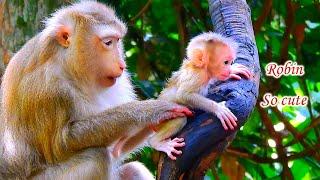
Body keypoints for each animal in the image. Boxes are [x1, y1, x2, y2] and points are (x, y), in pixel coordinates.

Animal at [0, 1, 191, 179]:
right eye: (107, 43)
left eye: (117, 41)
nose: (122, 64)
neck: (68, 65)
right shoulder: (48, 89)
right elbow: (60, 145)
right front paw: (151, 110)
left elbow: (117, 149)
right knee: (96, 157)